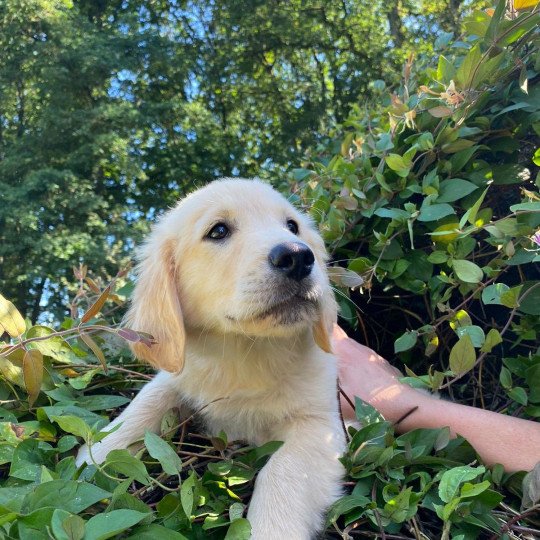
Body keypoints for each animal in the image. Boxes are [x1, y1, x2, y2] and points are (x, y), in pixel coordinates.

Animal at [76, 179, 346, 536]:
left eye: (292, 226)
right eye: (218, 231)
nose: (298, 255)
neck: (246, 352)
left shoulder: (321, 423)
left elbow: (284, 469)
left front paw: (269, 530)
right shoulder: (180, 374)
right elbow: (146, 402)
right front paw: (94, 455)